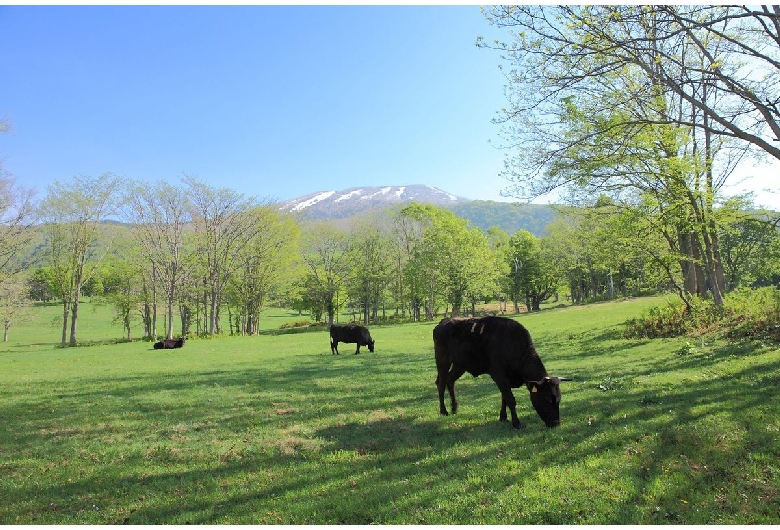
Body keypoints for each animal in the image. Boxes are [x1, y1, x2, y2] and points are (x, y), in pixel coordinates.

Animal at [432, 316, 568, 426]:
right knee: (441, 383)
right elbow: (510, 399)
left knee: (450, 380)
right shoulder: (500, 376)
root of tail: (444, 321)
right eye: (548, 399)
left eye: (559, 399)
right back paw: (444, 411)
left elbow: (504, 399)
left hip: (460, 364)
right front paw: (516, 423)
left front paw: (503, 417)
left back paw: (454, 408)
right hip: (443, 360)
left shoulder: (505, 380)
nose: (556, 423)